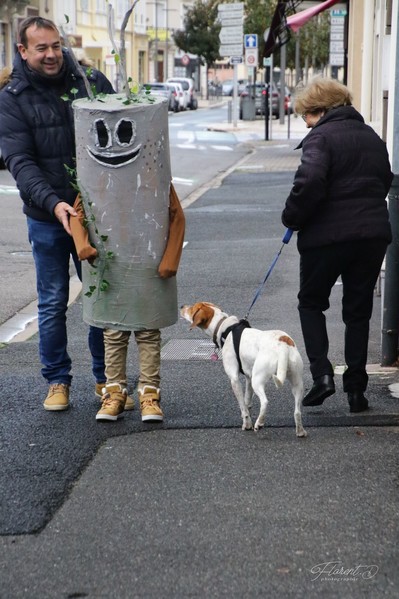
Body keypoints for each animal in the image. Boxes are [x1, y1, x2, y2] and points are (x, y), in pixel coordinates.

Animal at [182, 302, 310, 438]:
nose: (181, 306)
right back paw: (300, 431)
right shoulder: (249, 377)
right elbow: (247, 400)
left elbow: (243, 407)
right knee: (297, 412)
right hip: (297, 384)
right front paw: (248, 412)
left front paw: (247, 424)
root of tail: (283, 345)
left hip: (258, 380)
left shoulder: (234, 379)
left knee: (265, 402)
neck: (224, 327)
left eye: (192, 308)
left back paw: (259, 423)